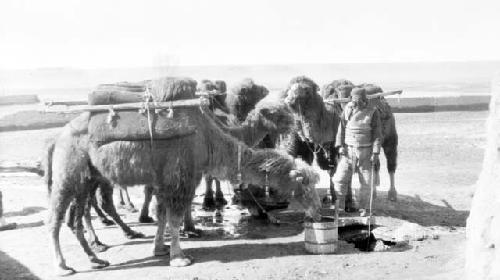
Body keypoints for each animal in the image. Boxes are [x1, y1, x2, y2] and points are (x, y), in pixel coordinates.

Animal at [47, 77, 320, 276]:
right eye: (305, 184)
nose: (318, 210)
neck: (210, 137)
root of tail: (59, 135)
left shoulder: (166, 179)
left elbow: (162, 215)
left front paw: (160, 248)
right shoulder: (181, 176)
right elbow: (175, 216)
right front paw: (179, 257)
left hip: (88, 177)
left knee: (77, 216)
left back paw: (96, 257)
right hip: (69, 168)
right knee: (57, 216)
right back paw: (64, 265)